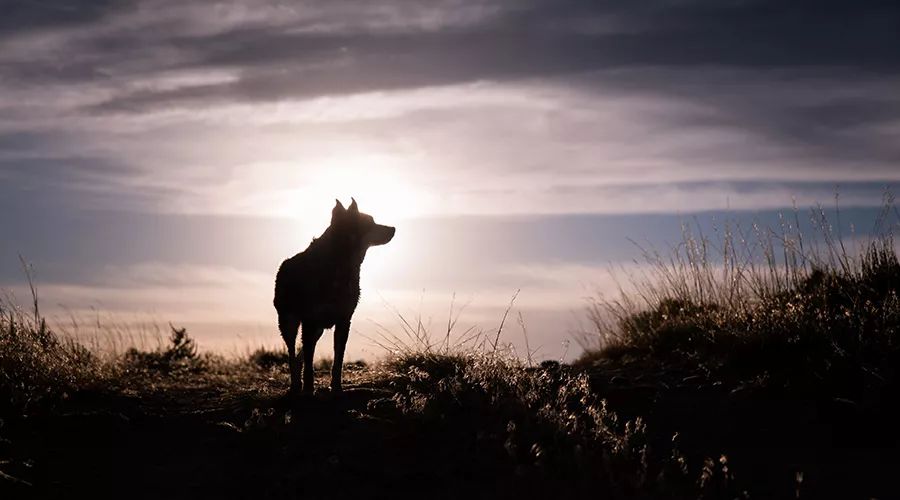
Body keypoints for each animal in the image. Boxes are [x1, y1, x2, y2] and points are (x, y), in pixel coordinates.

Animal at [274, 199, 394, 394]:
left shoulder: (344, 321)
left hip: (318, 329)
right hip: (289, 323)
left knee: (300, 354)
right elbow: (309, 363)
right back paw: (295, 385)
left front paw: (336, 388)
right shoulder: (309, 321)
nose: (393, 229)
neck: (339, 265)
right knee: (293, 353)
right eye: (371, 222)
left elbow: (338, 360)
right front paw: (308, 389)